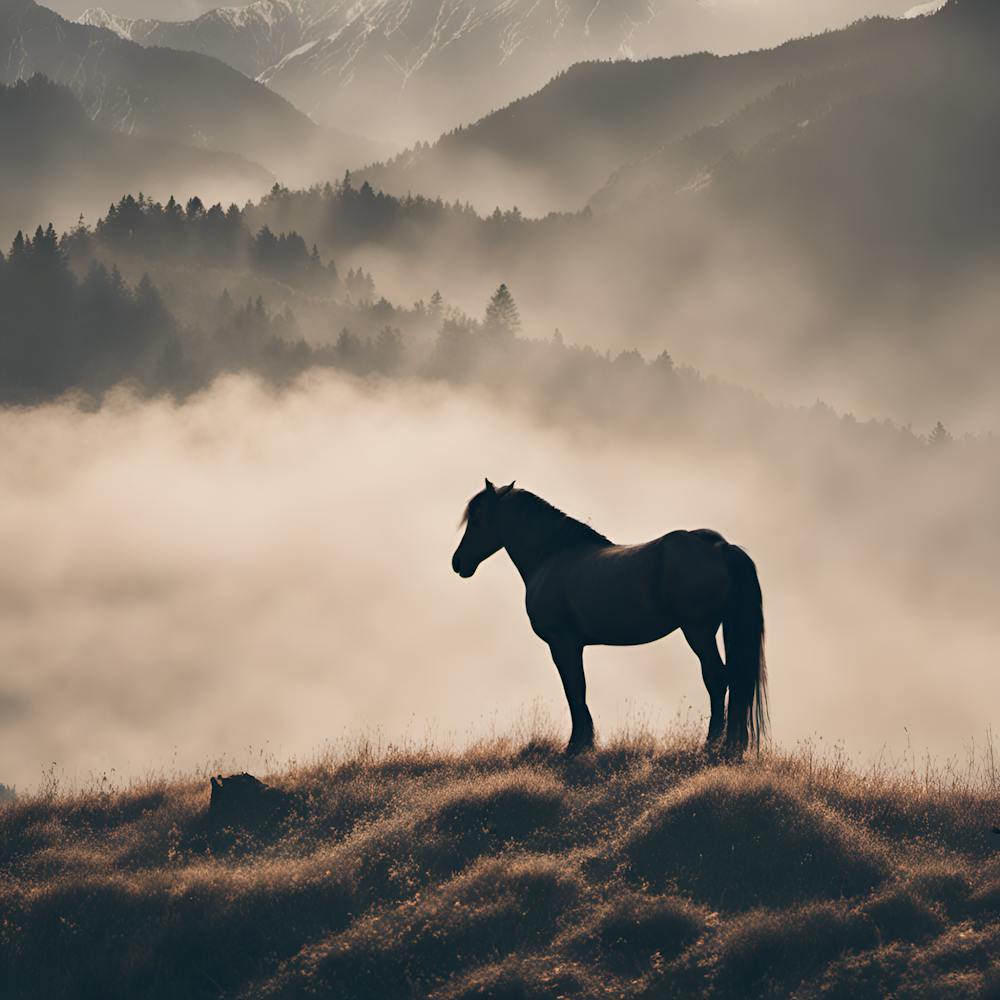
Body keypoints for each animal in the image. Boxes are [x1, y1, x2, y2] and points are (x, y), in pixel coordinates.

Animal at [452, 480, 768, 757]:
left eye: (476, 521)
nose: (458, 562)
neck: (552, 555)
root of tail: (721, 547)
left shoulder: (562, 643)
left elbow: (574, 688)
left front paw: (576, 745)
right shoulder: (573, 645)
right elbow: (578, 688)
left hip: (698, 631)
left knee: (717, 678)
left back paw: (713, 744)